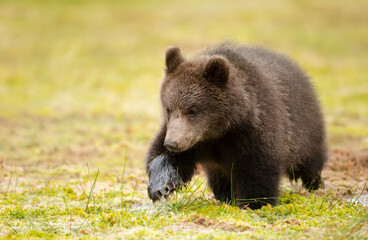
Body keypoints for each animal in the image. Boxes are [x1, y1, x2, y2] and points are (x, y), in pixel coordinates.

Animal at [145, 42, 326, 209]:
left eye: (193, 110)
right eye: (169, 108)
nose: (172, 143)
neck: (221, 129)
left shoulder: (253, 131)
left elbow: (259, 169)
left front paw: (255, 203)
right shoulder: (195, 140)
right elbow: (165, 156)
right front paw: (160, 186)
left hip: (305, 129)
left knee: (309, 162)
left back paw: (316, 185)